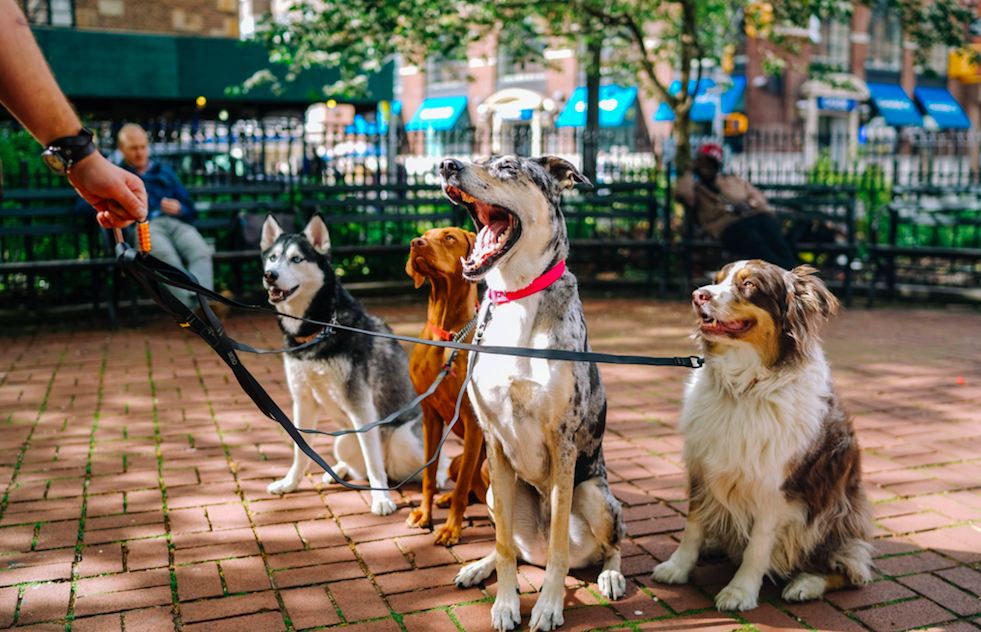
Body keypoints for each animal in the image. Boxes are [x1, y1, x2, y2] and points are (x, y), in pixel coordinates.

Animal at [258, 215, 446, 516]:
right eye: (273, 257)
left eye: (297, 259)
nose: (270, 275)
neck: (320, 329)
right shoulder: (303, 400)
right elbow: (301, 451)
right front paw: (290, 483)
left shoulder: (361, 405)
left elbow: (373, 460)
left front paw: (382, 499)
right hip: (343, 440)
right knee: (363, 465)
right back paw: (339, 470)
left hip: (403, 439)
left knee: (433, 460)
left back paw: (435, 476)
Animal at [402, 228, 486, 548]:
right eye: (424, 235)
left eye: (449, 237)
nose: (415, 243)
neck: (448, 334)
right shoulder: (430, 415)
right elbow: (428, 475)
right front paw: (423, 514)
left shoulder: (473, 423)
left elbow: (462, 488)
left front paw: (451, 529)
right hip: (456, 461)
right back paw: (445, 498)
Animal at [440, 157, 624, 632]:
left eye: (507, 166)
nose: (447, 164)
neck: (517, 296)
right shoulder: (493, 442)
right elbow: (505, 546)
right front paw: (506, 605)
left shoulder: (563, 443)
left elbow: (559, 548)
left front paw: (547, 607)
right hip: (491, 490)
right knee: (516, 548)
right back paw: (478, 567)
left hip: (595, 495)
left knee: (610, 545)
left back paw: (611, 576)